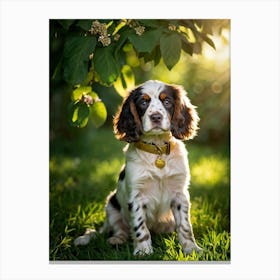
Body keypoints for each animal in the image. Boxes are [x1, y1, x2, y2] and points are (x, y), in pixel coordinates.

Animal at [74, 79, 201, 256]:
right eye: (143, 102)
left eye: (167, 101)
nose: (156, 117)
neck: (157, 150)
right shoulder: (136, 196)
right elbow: (140, 227)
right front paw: (143, 251)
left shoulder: (180, 194)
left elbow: (185, 226)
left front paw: (191, 248)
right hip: (111, 205)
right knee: (119, 229)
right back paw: (116, 240)